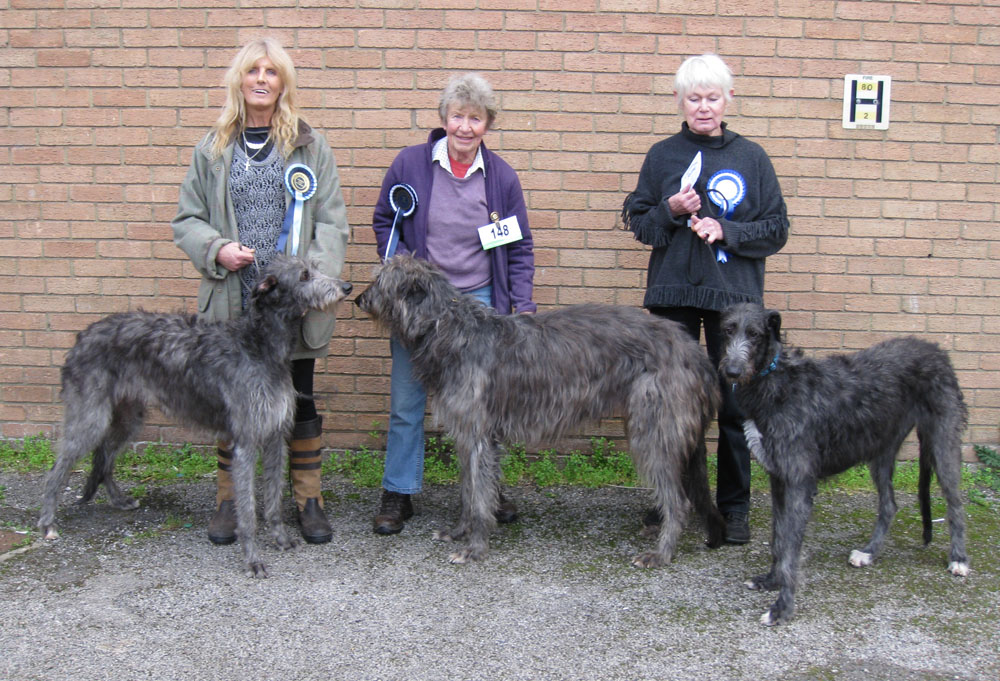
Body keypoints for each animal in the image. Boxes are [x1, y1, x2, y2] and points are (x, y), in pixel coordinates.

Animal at [36, 258, 356, 576]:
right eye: (304, 276)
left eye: (316, 267)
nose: (347, 287)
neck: (258, 345)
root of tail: (83, 336)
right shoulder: (246, 440)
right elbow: (247, 509)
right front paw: (253, 559)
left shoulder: (275, 434)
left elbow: (274, 498)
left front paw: (280, 538)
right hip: (90, 416)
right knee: (58, 468)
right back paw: (48, 522)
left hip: (128, 415)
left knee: (103, 455)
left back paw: (118, 499)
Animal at [356, 254, 724, 564]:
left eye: (380, 280)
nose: (359, 299)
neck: (450, 329)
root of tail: (695, 353)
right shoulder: (468, 436)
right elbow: (469, 491)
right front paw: (460, 532)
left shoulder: (478, 436)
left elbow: (479, 497)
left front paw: (475, 548)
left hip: (654, 429)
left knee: (679, 501)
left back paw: (661, 553)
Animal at [720, 306, 968, 624]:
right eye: (728, 329)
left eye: (754, 334)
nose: (731, 371)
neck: (776, 381)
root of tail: (937, 350)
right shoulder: (779, 477)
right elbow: (779, 538)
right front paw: (771, 580)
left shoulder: (799, 481)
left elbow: (790, 548)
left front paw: (782, 607)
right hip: (881, 448)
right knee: (889, 504)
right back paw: (869, 553)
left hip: (942, 441)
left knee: (955, 503)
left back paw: (958, 558)